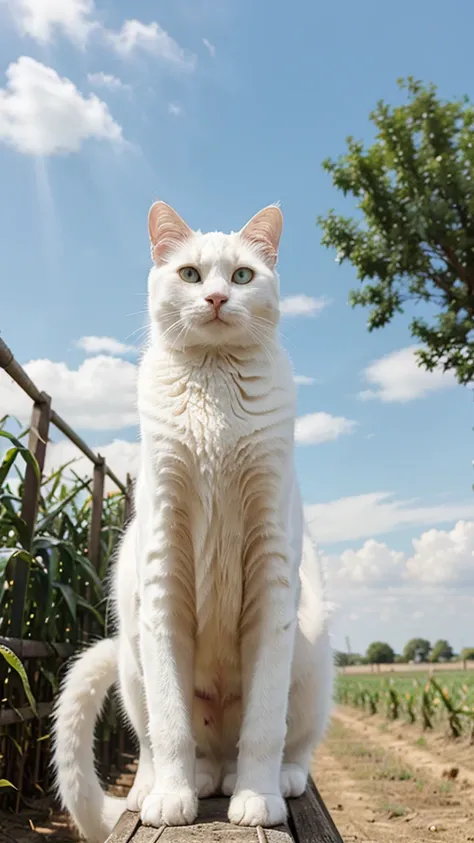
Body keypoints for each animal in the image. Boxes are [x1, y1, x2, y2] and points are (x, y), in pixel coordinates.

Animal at [52, 201, 334, 840]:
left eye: (243, 276)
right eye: (189, 274)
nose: (216, 297)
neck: (214, 387)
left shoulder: (273, 575)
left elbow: (264, 726)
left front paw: (256, 799)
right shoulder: (162, 574)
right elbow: (172, 726)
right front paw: (172, 799)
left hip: (312, 656)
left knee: (291, 744)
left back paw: (269, 780)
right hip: (132, 659)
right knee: (160, 744)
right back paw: (169, 787)